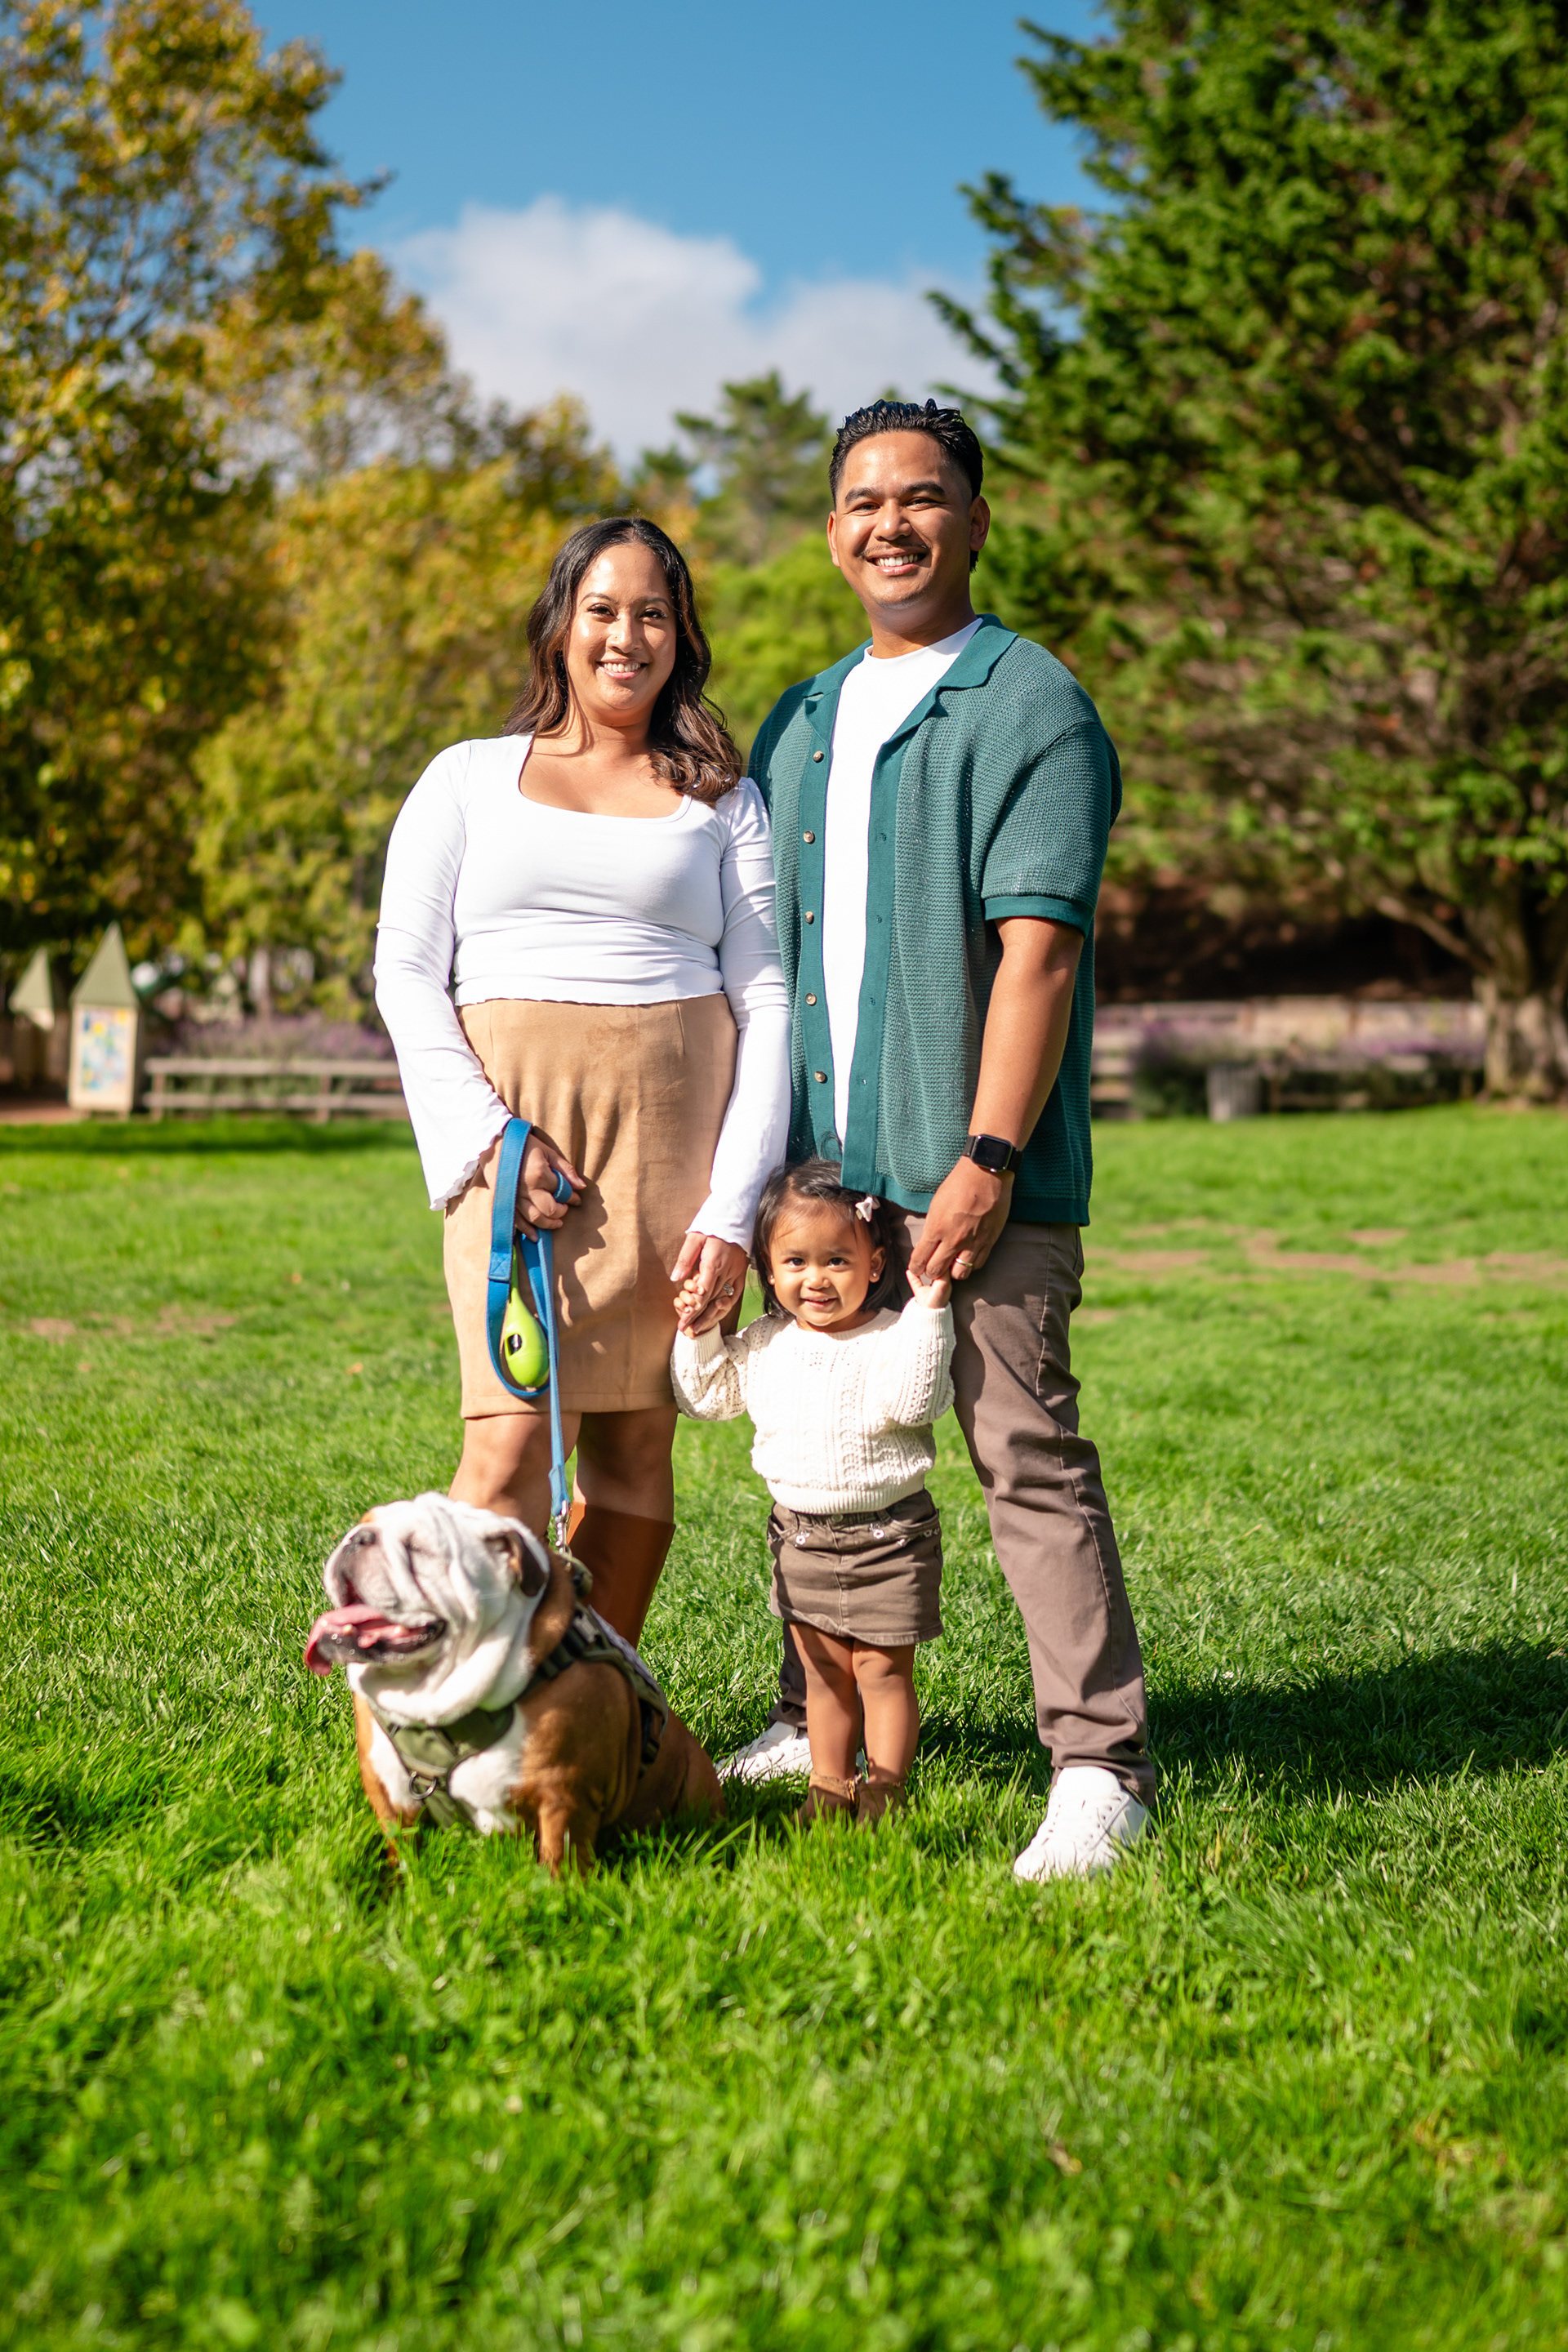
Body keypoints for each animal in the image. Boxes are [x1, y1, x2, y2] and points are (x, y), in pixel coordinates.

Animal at [304, 1494, 722, 1874]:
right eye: (362, 1524)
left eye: (417, 1548)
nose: (358, 1538)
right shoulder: (388, 1793)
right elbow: (402, 1855)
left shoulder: (565, 1797)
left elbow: (560, 1860)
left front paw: (558, 1897)